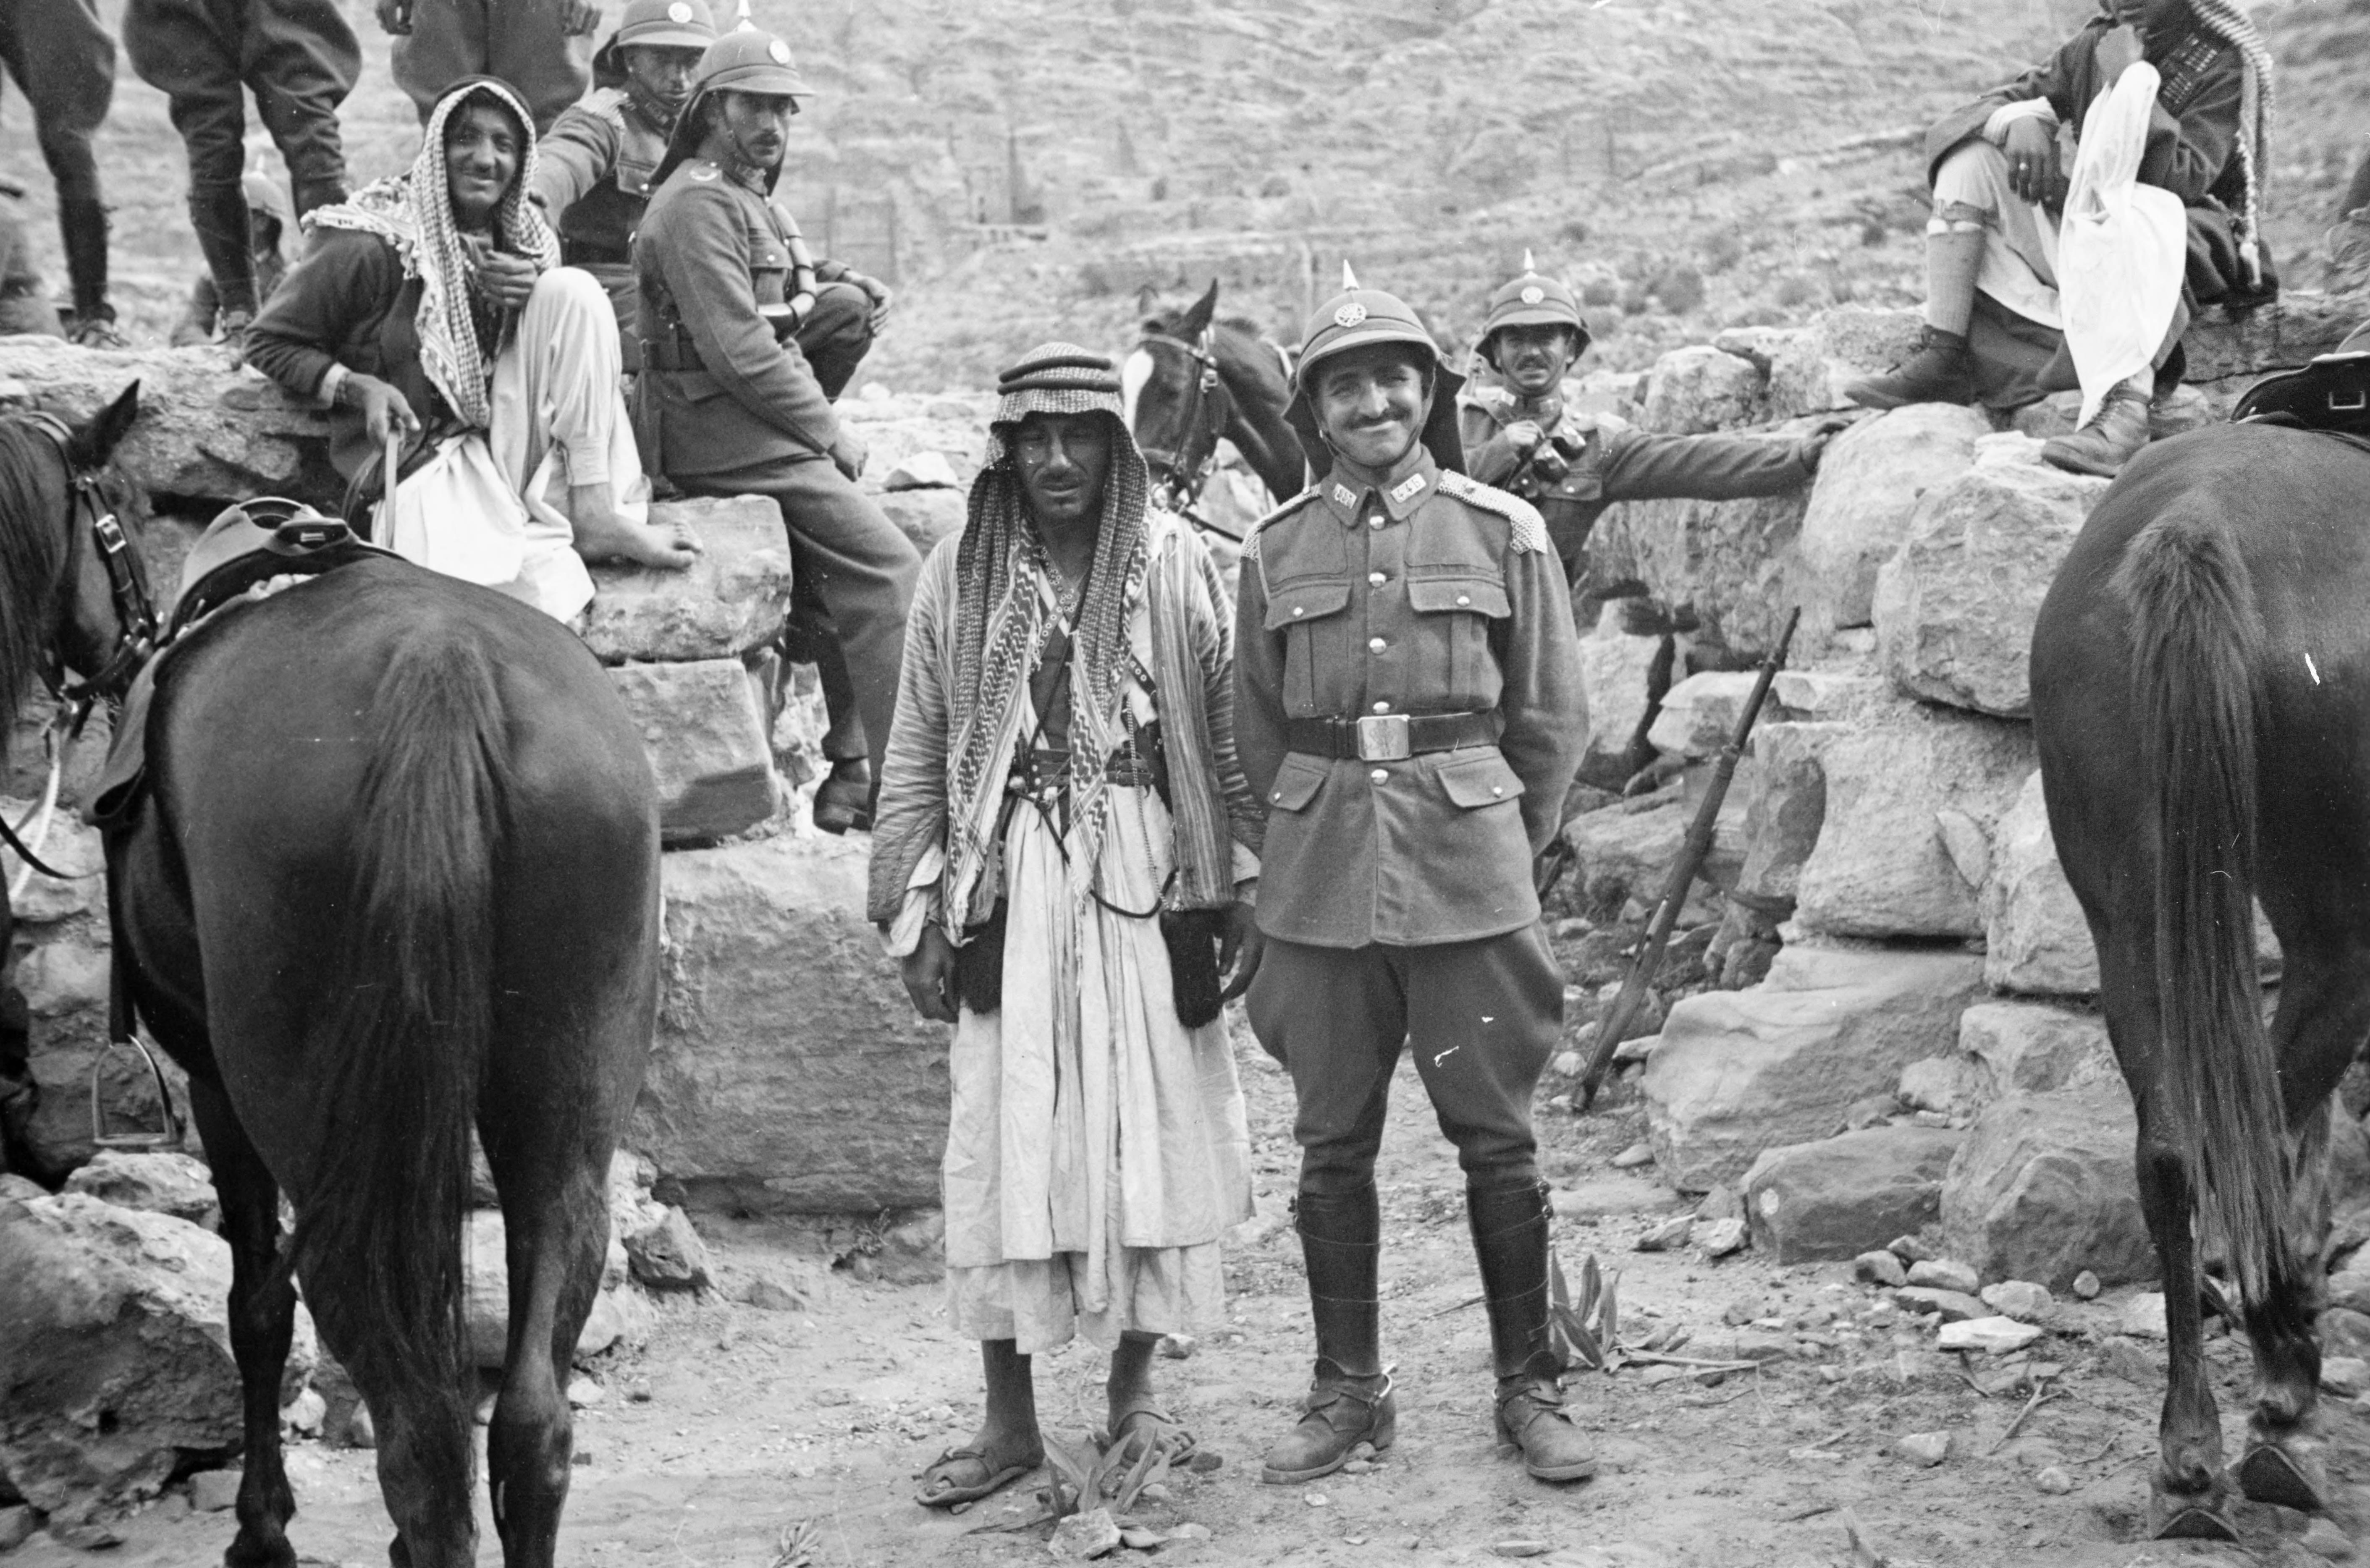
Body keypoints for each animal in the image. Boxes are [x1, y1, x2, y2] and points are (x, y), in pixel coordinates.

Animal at [5, 395, 668, 1568]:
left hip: (318, 1123)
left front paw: (261, 1528)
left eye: (115, 505)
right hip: (563, 1112)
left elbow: (256, 1308)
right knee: (530, 1418)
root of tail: (443, 669)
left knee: (408, 1420)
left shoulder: (218, 1085)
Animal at [2029, 424, 2370, 1544]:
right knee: (2253, 1127)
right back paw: (2283, 1377)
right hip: (2336, 924)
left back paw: (2189, 1450)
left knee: (2175, 1147)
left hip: (2131, 916)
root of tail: (2197, 521)